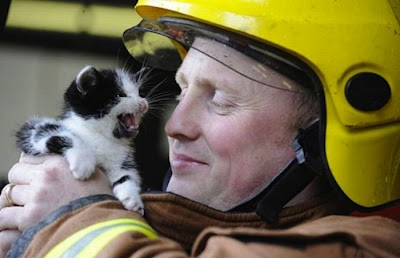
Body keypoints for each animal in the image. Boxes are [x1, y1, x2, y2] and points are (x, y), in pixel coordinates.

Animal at [15, 66, 150, 214]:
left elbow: (126, 174)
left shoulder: (121, 159)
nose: (143, 104)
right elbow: (50, 132)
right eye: (121, 95)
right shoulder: (29, 131)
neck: (100, 135)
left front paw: (132, 196)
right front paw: (83, 161)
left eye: (140, 94)